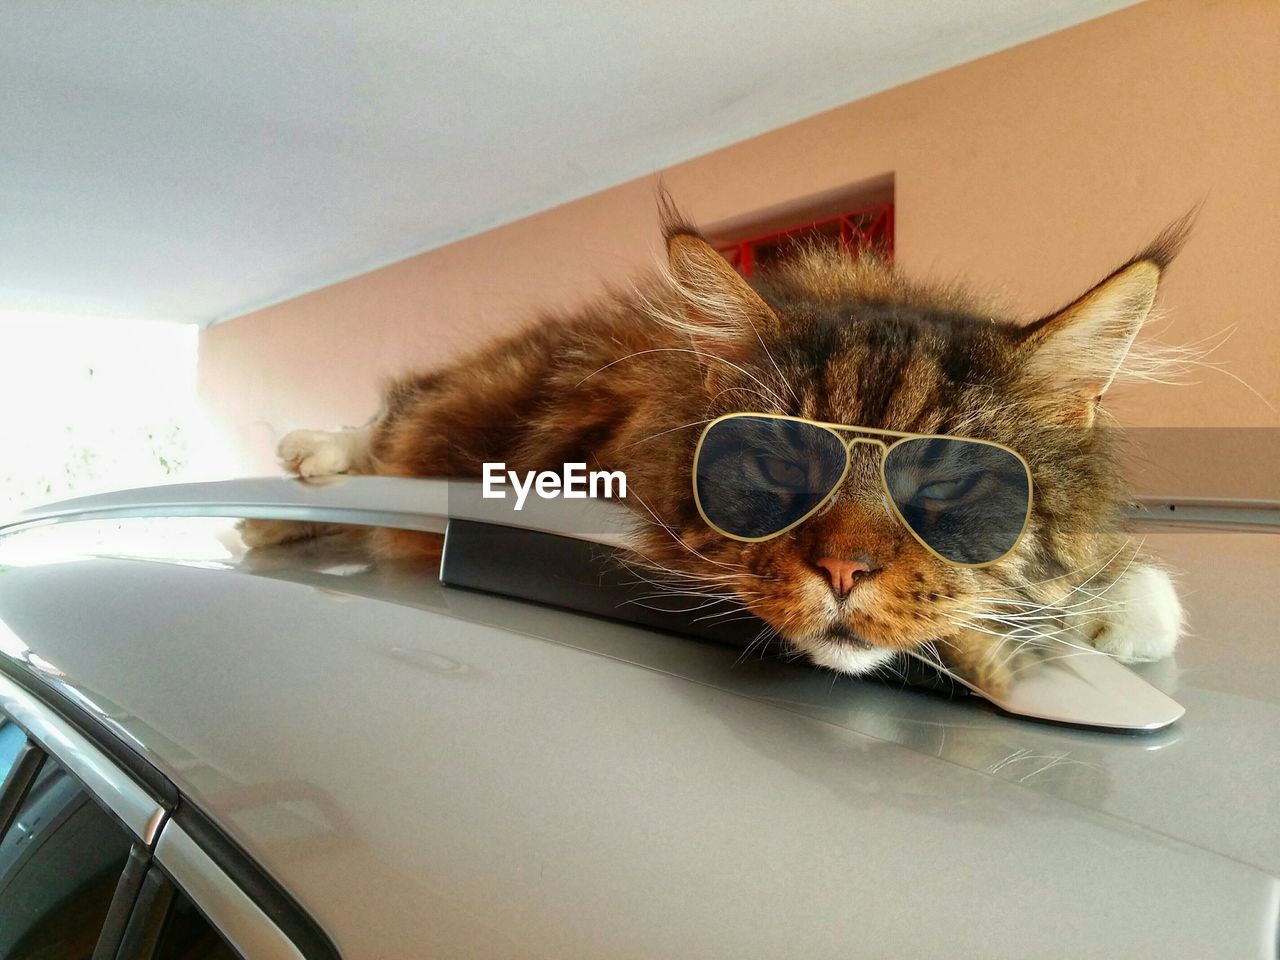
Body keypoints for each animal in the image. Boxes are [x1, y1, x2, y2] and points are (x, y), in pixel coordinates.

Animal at [240, 208, 1177, 691]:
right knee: (387, 427)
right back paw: (298, 473)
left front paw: (1123, 608)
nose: (845, 571)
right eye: (784, 465)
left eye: (946, 487)